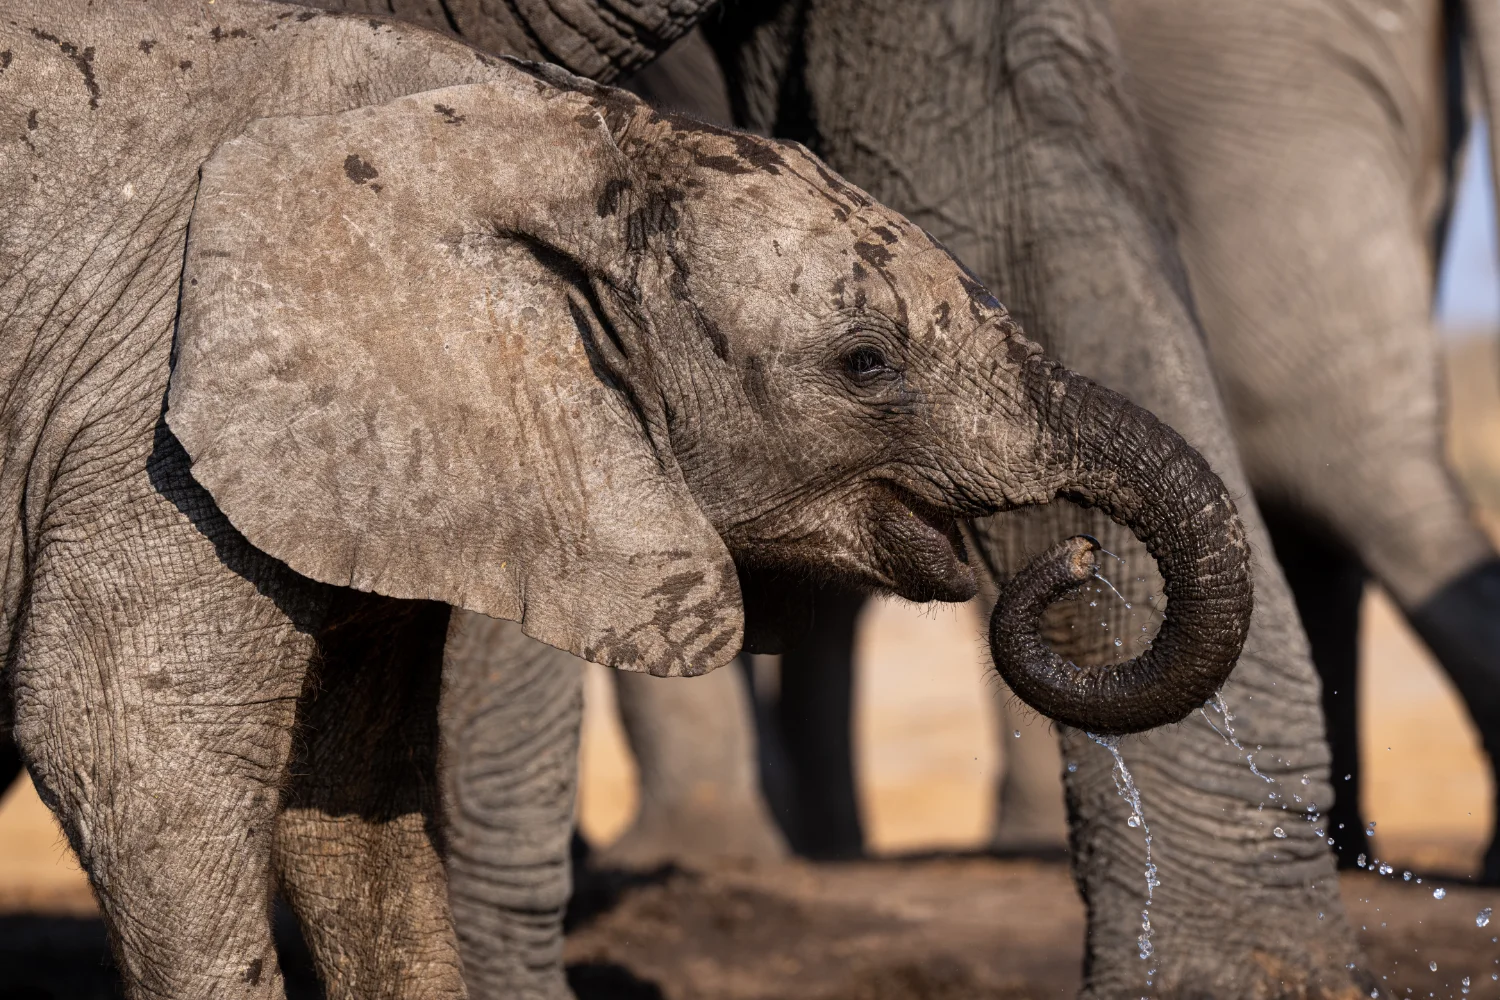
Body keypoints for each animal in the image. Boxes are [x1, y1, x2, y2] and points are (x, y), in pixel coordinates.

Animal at [0, 1, 1255, 997]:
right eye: (865, 363)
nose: (1074, 566)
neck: (520, 135)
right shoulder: (145, 415)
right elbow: (136, 759)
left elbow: (351, 801)